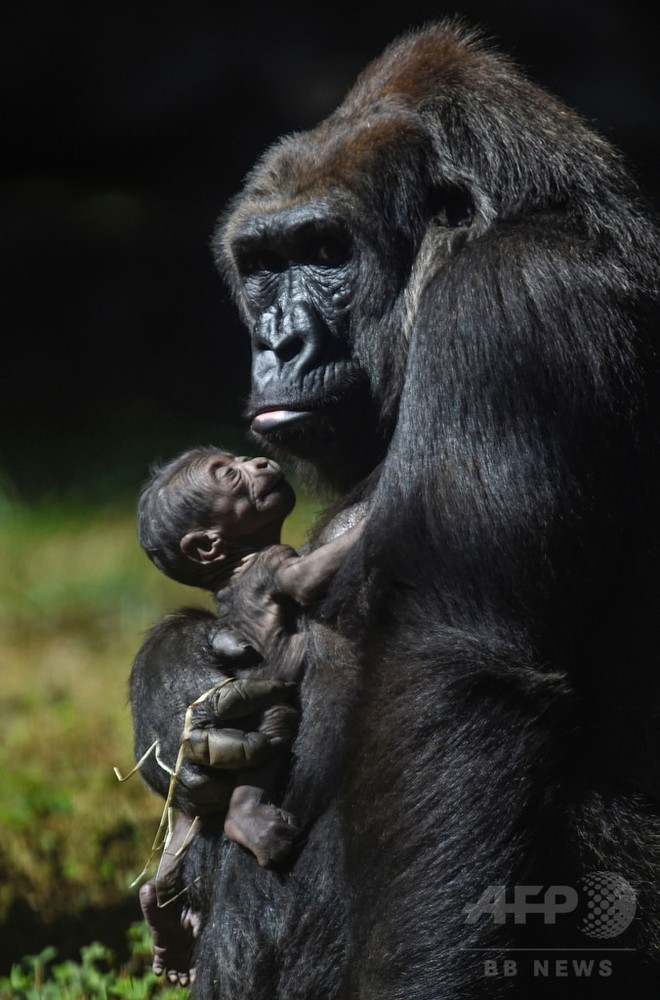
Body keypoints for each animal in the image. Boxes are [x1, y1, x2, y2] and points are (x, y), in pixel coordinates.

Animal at [134, 450, 360, 980]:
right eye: (228, 474)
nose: (258, 461)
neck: (237, 562)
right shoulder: (275, 563)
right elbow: (306, 577)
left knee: (184, 823)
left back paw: (163, 917)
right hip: (266, 708)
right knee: (270, 738)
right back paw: (247, 821)